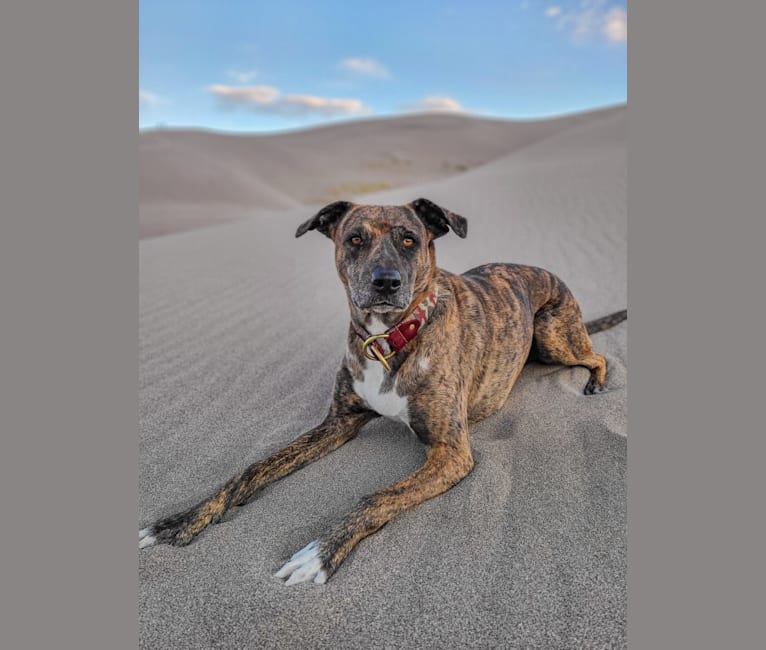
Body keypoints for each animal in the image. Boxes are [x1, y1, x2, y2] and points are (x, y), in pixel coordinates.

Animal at [141, 196, 628, 584]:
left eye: (410, 240)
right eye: (355, 238)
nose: (386, 282)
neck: (388, 337)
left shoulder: (451, 452)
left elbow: (377, 497)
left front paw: (320, 553)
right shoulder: (339, 421)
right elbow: (252, 469)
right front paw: (181, 521)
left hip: (555, 335)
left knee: (597, 357)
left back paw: (596, 382)